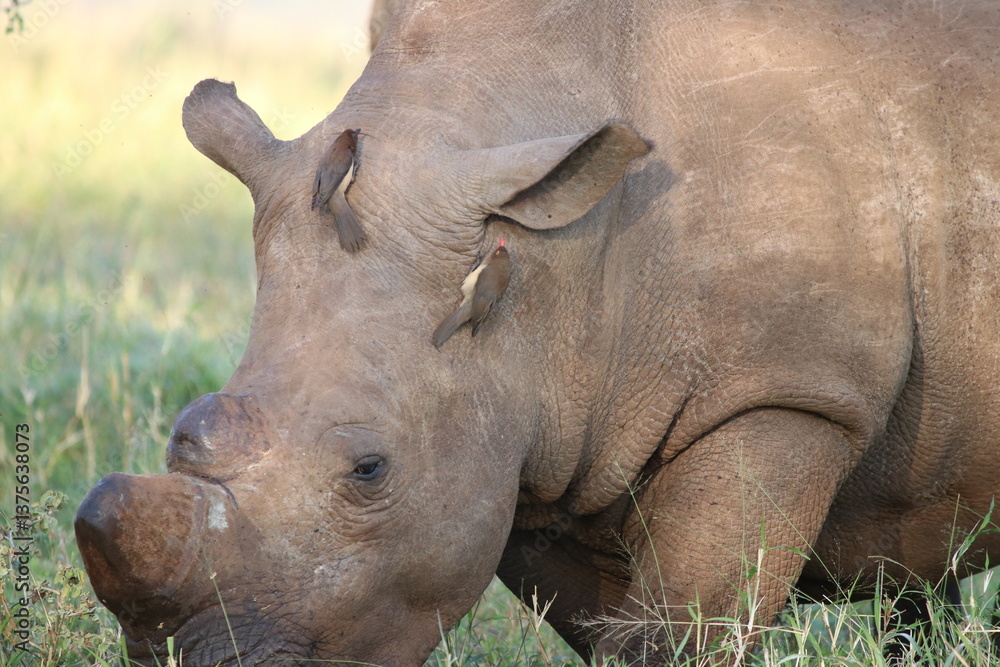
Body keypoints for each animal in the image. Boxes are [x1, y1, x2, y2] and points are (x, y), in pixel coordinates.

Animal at [74, 0, 1000, 664]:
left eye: (370, 469)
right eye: (185, 429)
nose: (198, 658)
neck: (544, 272)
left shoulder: (785, 394)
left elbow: (676, 631)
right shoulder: (532, 438)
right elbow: (609, 632)